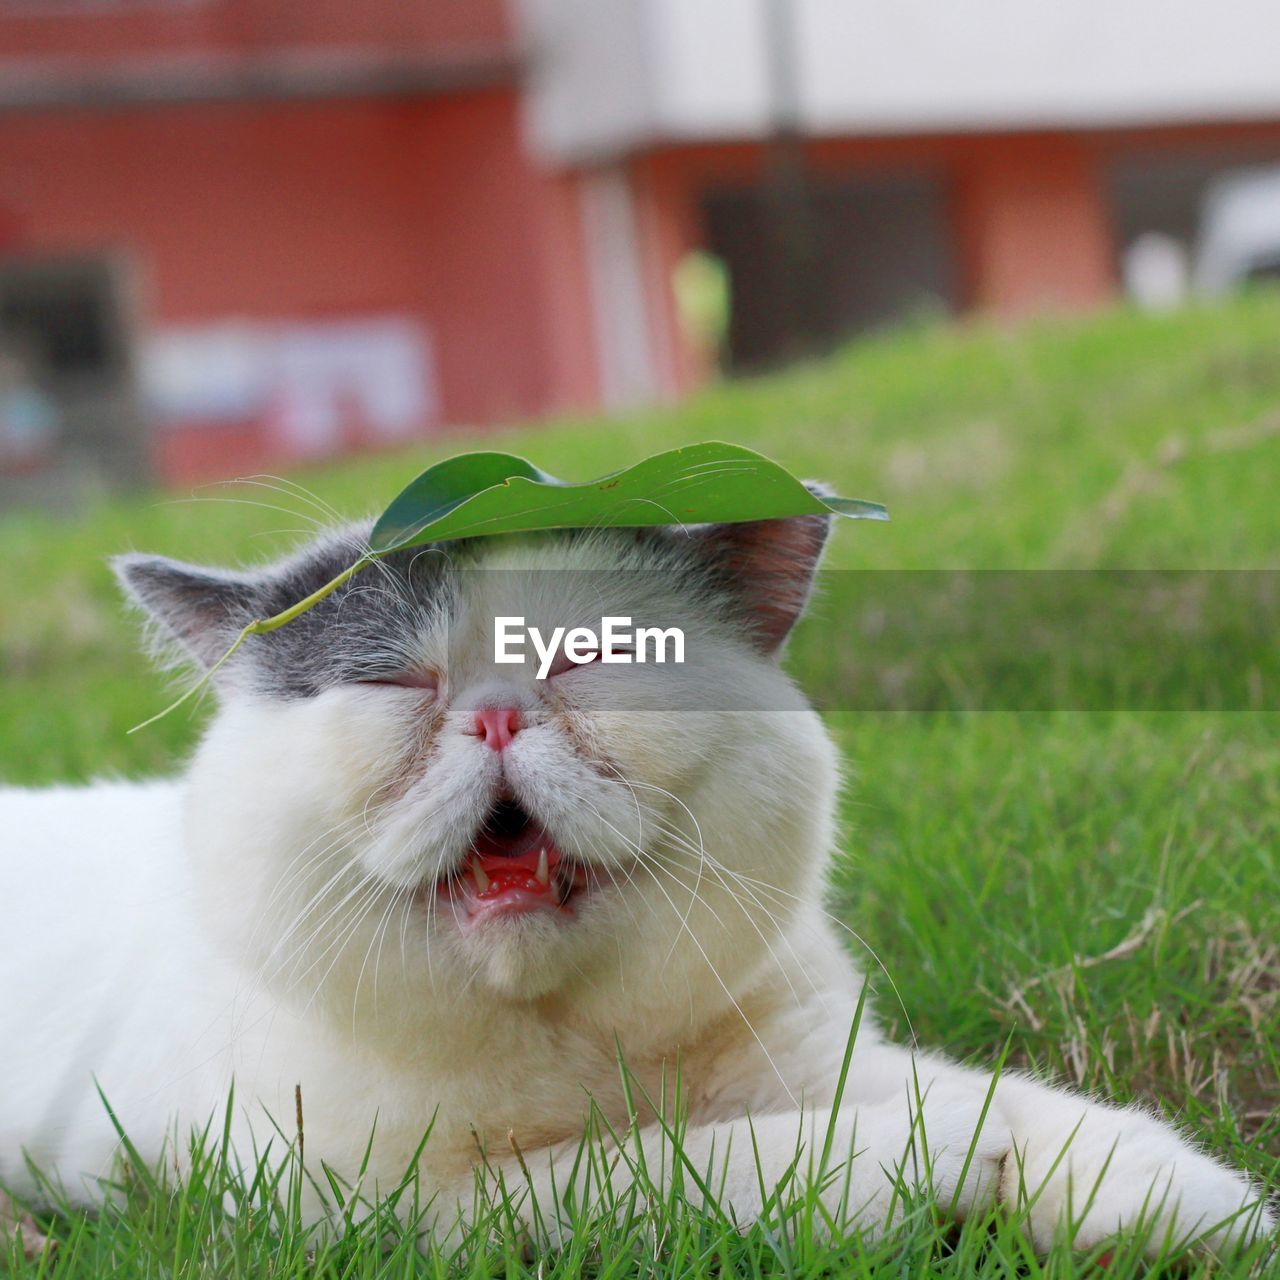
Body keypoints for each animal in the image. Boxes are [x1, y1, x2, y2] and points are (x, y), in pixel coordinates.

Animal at [0, 504, 1269, 1254]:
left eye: (591, 654)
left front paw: (1196, 1201)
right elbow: (674, 1164)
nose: (495, 710)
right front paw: (941, 1160)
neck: (572, 1043)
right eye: (393, 680)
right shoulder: (398, 1207)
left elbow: (1026, 1102)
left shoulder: (817, 1054)